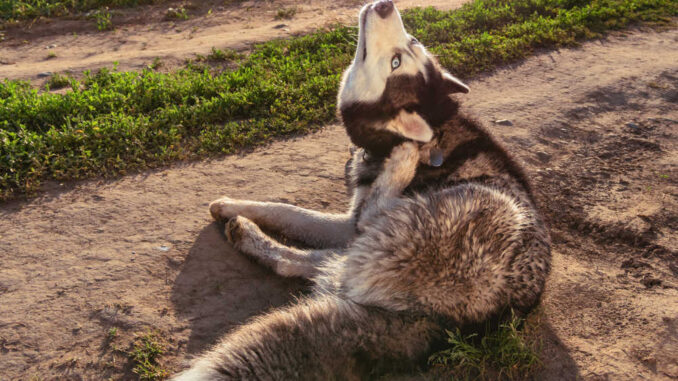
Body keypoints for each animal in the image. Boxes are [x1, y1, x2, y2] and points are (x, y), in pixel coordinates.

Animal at [173, 1, 548, 378]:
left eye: (395, 62)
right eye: (410, 44)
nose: (385, 6)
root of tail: (445, 324)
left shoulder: (353, 222)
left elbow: (293, 211)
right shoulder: (346, 224)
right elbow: (287, 211)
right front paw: (230, 206)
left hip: (475, 212)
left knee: (330, 252)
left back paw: (401, 164)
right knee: (314, 264)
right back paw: (243, 230)